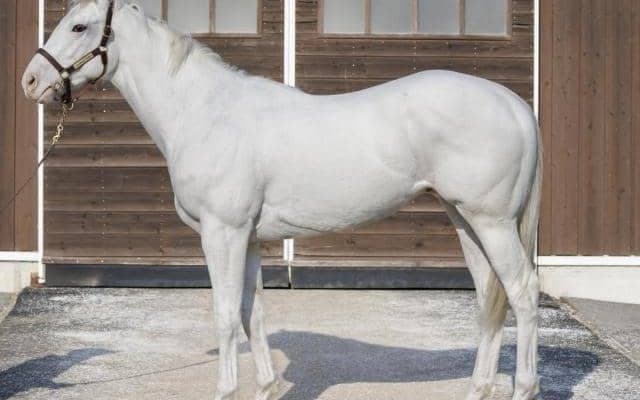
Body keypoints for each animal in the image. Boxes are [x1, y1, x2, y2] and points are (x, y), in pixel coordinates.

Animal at [22, 1, 542, 399]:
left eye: (79, 26)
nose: (30, 81)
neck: (206, 113)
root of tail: (515, 105)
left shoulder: (223, 233)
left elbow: (226, 315)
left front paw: (226, 390)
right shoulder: (248, 238)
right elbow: (252, 312)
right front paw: (267, 387)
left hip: (493, 222)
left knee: (522, 292)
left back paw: (525, 387)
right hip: (465, 221)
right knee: (489, 296)